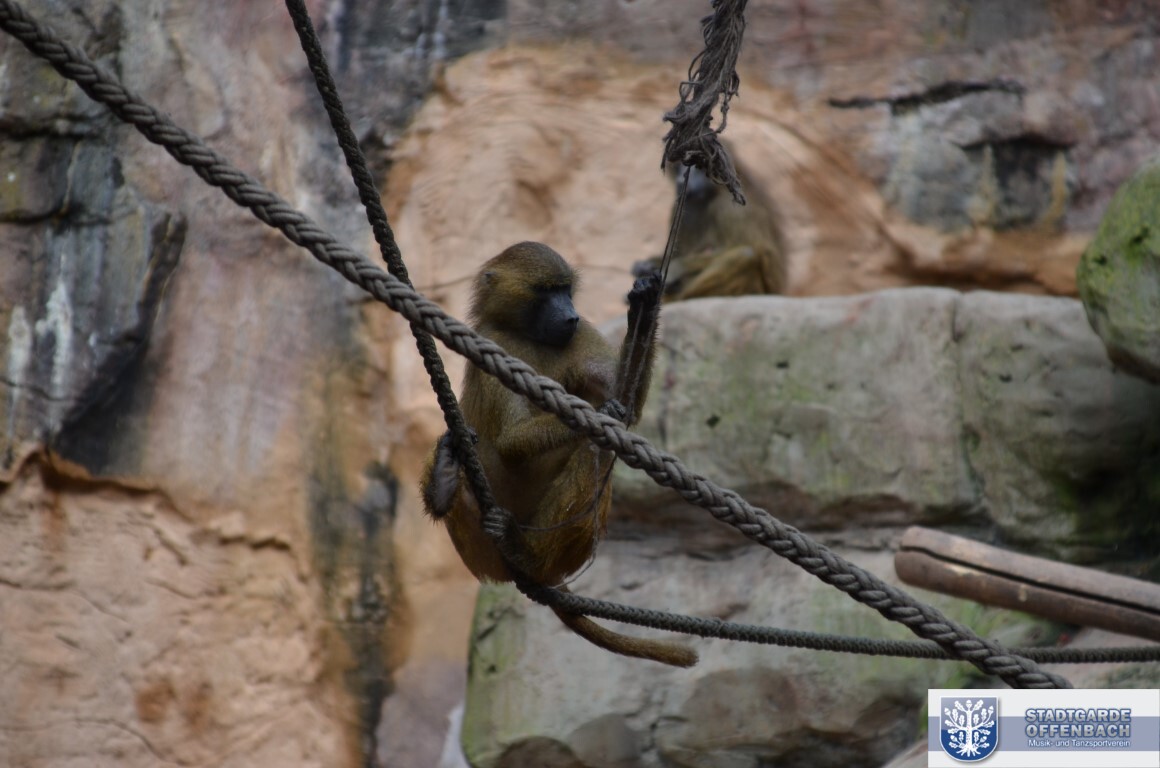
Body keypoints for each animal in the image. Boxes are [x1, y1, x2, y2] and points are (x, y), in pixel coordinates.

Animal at [421, 241, 697, 668]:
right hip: (475, 539)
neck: (527, 332)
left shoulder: (579, 335)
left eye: (566, 289)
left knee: (595, 451)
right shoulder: (494, 342)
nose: (570, 315)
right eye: (546, 290)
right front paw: (603, 414)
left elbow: (626, 404)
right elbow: (513, 439)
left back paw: (525, 552)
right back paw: (445, 481)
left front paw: (644, 307)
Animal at [635, 147, 788, 300]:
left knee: (745, 255)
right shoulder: (685, 203)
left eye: (695, 164)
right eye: (679, 165)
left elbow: (755, 247)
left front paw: (675, 268)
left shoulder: (732, 209)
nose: (680, 180)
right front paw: (646, 267)